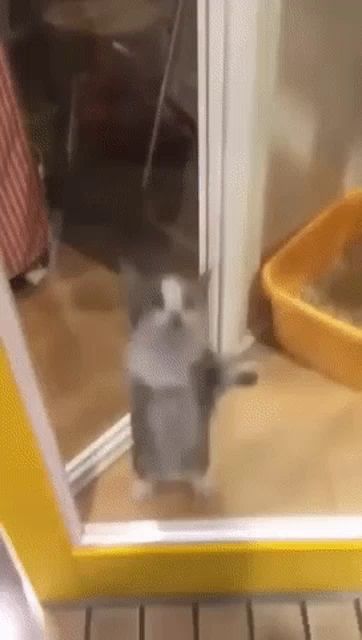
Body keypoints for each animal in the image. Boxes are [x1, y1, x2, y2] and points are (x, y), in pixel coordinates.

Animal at [124, 268, 258, 502]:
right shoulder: (139, 379)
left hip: (201, 450)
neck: (171, 353)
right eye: (157, 302)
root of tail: (172, 475)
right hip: (141, 451)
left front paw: (246, 367)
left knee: (197, 471)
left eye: (188, 303)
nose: (175, 317)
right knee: (146, 469)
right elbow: (147, 391)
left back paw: (202, 485)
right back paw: (143, 485)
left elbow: (221, 374)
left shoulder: (205, 371)